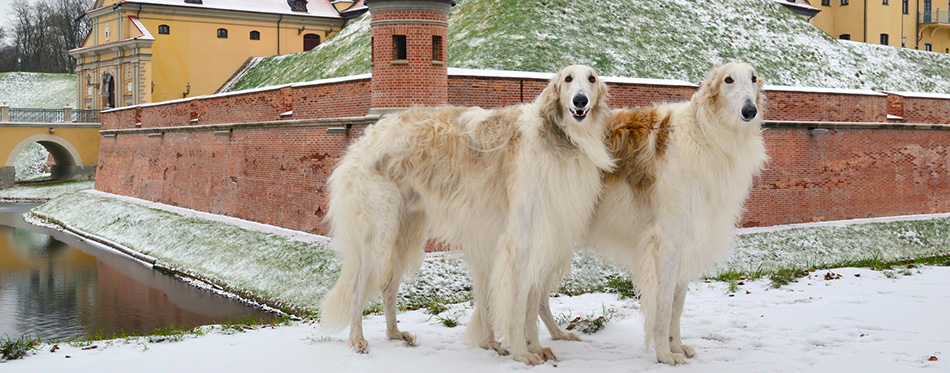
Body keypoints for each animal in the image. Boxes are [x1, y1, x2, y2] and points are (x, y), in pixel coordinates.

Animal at [322, 64, 616, 364]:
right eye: (568, 79)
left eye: (591, 79)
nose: (580, 101)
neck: (556, 138)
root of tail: (364, 139)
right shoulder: (519, 243)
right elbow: (518, 306)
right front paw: (523, 353)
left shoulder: (541, 238)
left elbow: (531, 305)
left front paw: (534, 347)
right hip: (379, 234)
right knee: (357, 289)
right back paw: (357, 339)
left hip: (405, 233)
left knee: (388, 287)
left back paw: (395, 333)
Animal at [540, 62, 768, 364]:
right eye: (728, 79)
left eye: (753, 78)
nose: (749, 110)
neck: (705, 134)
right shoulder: (666, 242)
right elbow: (663, 306)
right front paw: (664, 354)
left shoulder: (685, 241)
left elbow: (676, 306)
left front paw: (677, 346)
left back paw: (556, 335)